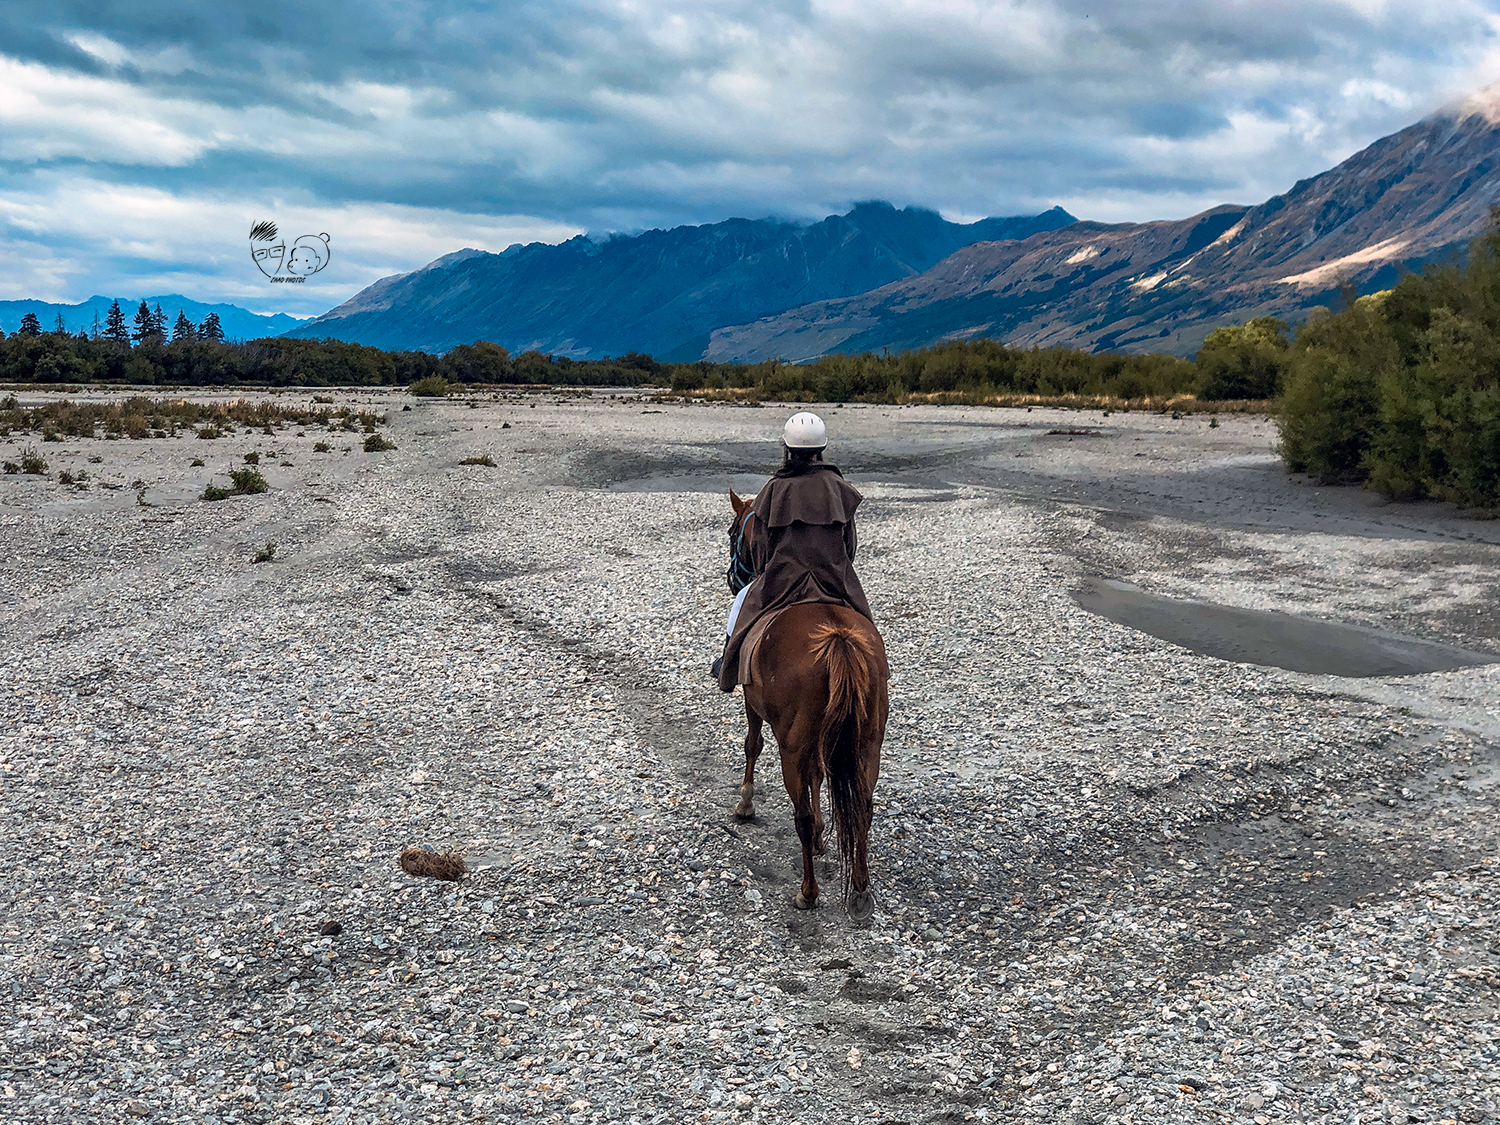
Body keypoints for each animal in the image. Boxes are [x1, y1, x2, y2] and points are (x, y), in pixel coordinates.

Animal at [720, 489, 882, 918]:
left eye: (733, 532)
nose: (733, 578)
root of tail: (840, 640)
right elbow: (819, 776)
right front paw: (827, 836)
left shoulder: (755, 707)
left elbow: (753, 745)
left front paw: (745, 803)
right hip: (867, 745)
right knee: (863, 808)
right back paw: (860, 889)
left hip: (792, 748)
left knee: (802, 817)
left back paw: (808, 893)